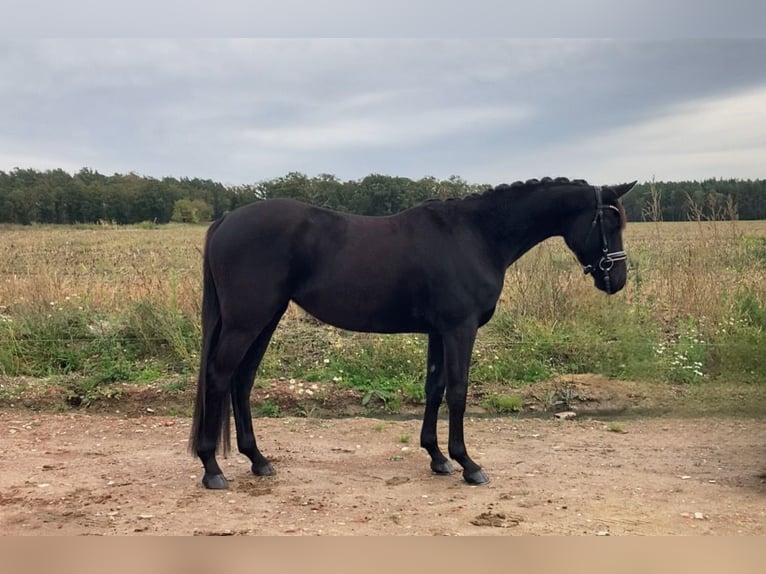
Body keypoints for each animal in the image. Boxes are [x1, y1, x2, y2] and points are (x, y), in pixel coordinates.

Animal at [188, 177, 636, 490]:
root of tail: (227, 220)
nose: (617, 280)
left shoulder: (439, 332)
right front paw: (468, 465)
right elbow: (458, 391)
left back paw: (258, 460)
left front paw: (437, 458)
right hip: (247, 321)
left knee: (242, 381)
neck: (477, 235)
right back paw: (212, 468)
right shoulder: (459, 329)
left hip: (265, 319)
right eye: (610, 221)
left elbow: (434, 388)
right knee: (219, 377)